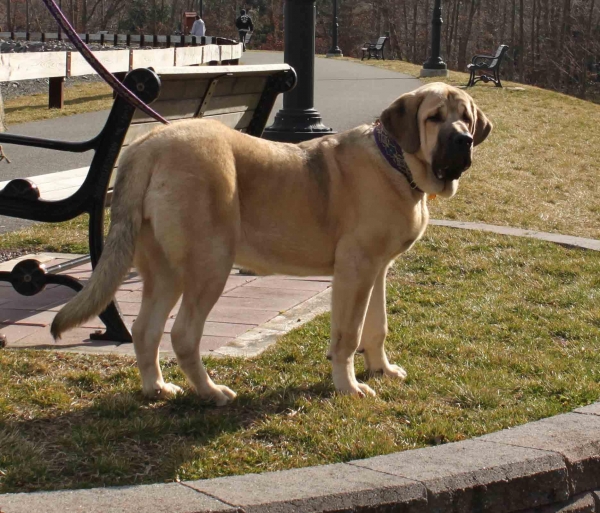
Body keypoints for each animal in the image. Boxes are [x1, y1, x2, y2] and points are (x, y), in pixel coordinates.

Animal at [52, 83, 492, 404]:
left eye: (466, 119)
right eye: (434, 118)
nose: (462, 141)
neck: (396, 162)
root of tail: (149, 144)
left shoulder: (377, 269)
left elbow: (377, 326)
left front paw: (382, 370)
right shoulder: (356, 268)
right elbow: (348, 334)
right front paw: (349, 387)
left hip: (164, 269)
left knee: (146, 331)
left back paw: (157, 388)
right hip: (209, 264)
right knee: (183, 335)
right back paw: (211, 393)